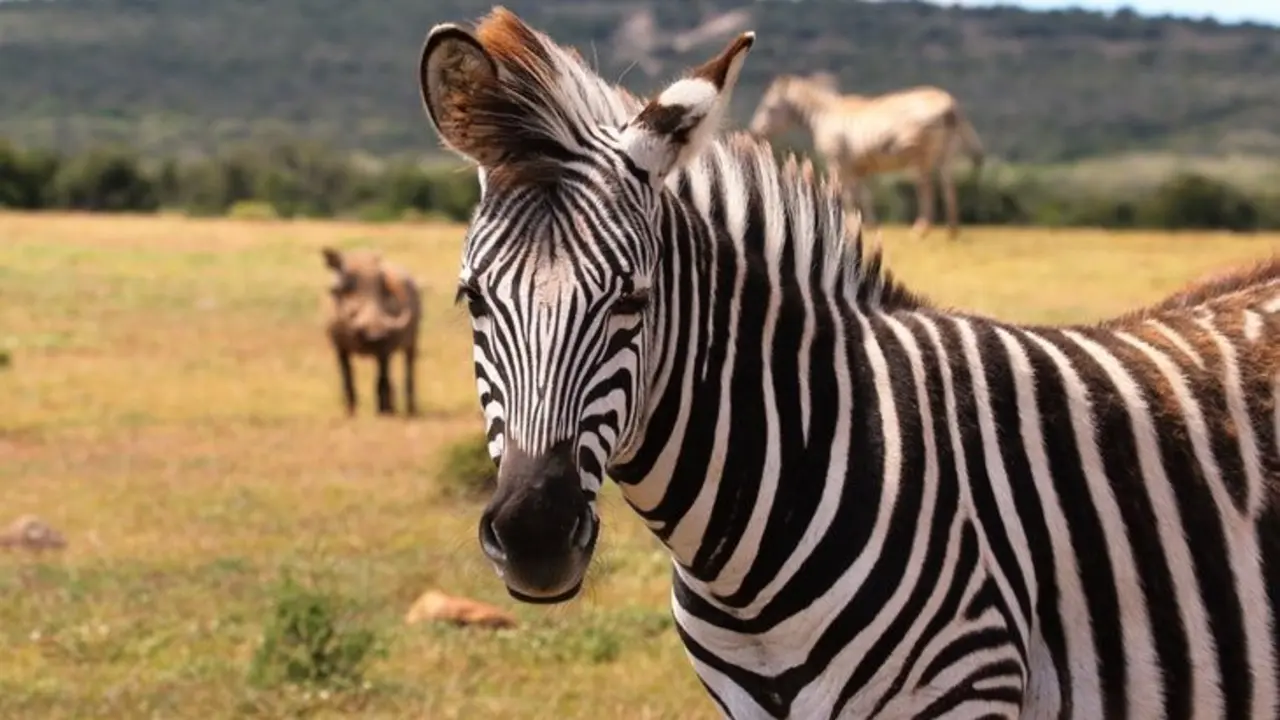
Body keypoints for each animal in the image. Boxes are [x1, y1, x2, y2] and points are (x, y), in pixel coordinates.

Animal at [748, 73, 985, 240]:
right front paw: (868, 225)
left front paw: (847, 225)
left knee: (926, 187)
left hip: (921, 156)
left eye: (769, 107)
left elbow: (845, 194)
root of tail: (949, 105)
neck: (823, 116)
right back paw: (952, 231)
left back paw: (921, 230)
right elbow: (865, 195)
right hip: (946, 154)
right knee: (948, 186)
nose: (753, 133)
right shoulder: (859, 167)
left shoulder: (837, 163)